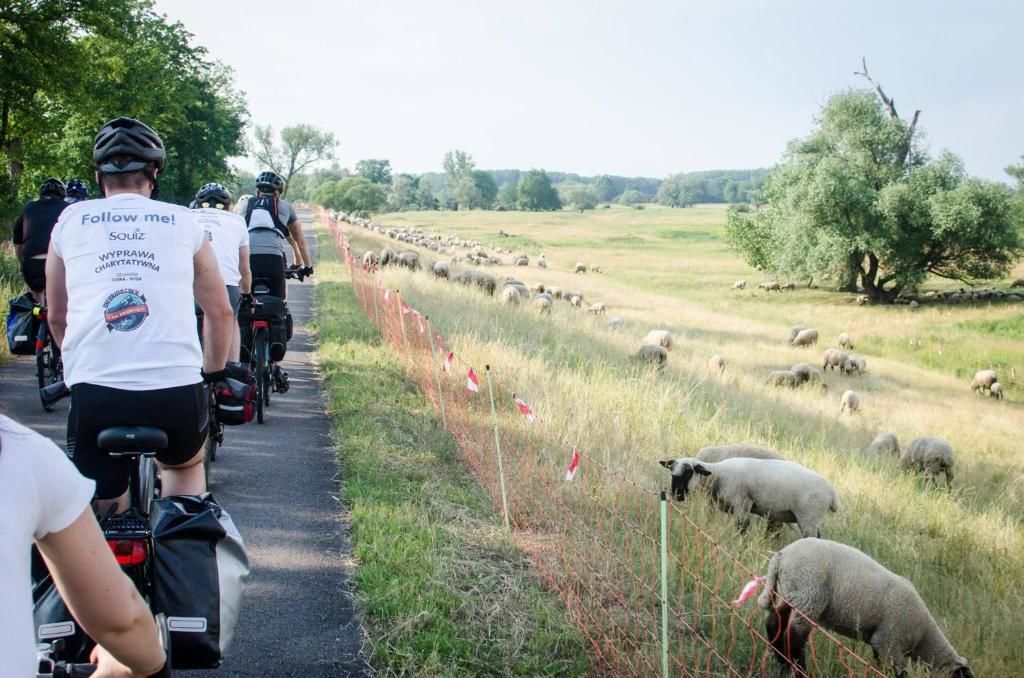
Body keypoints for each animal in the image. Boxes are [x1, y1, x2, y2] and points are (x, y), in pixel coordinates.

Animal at [659, 458, 843, 540]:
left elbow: (743, 530)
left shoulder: (742, 507)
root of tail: (832, 493)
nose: (676, 495)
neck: (718, 476)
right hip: (810, 520)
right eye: (671, 472)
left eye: (689, 472)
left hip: (808, 518)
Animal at [757, 540, 970, 675]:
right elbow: (897, 672)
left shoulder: (880, 643)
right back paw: (799, 669)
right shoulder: (890, 642)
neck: (923, 637)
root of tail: (781, 556)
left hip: (791, 594)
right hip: (808, 597)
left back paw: (781, 662)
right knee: (794, 637)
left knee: (774, 622)